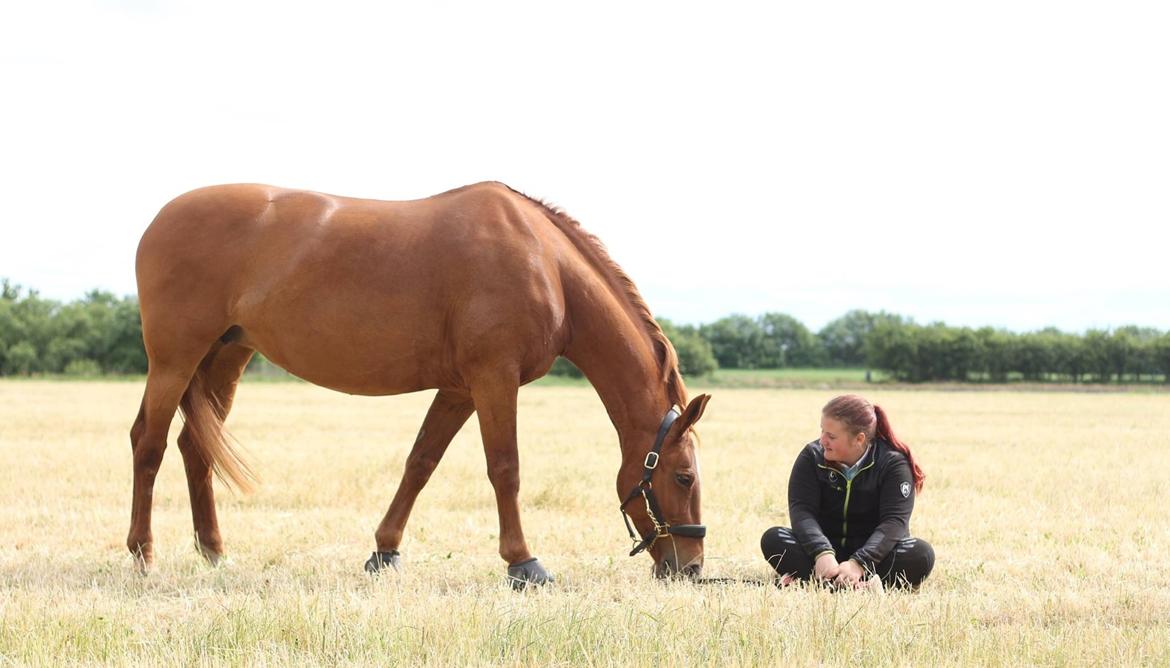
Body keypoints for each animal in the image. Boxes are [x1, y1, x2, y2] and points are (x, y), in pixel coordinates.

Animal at [130, 182, 711, 584]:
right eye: (684, 478)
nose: (690, 566)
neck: (544, 262)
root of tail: (159, 218)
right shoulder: (494, 378)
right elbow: (505, 469)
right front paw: (523, 564)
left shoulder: (459, 389)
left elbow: (420, 463)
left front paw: (384, 551)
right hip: (174, 359)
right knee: (148, 443)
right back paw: (143, 554)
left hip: (226, 357)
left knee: (193, 447)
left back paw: (214, 552)